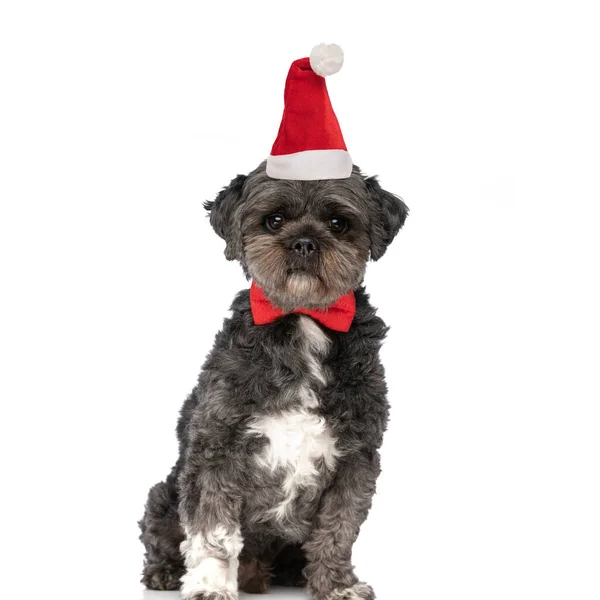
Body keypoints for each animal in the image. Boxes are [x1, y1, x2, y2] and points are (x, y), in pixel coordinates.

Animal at [138, 159, 406, 600]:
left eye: (338, 223)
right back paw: (166, 572)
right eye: (274, 220)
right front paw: (211, 584)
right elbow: (213, 528)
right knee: (160, 533)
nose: (304, 244)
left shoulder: (357, 456)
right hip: (164, 493)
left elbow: (338, 530)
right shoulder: (217, 447)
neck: (302, 319)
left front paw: (337, 585)